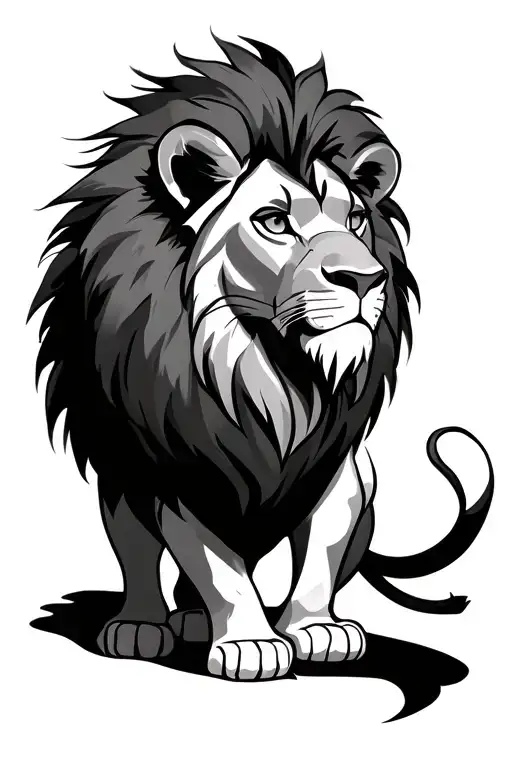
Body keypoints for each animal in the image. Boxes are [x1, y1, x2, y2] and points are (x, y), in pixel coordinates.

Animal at [30, 36, 493, 680]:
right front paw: (250, 643)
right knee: (138, 555)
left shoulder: (340, 469)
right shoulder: (178, 467)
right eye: (273, 221)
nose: (365, 278)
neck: (269, 368)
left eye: (355, 219)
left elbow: (321, 551)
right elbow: (216, 565)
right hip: (121, 479)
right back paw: (143, 625)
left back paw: (195, 620)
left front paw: (318, 631)